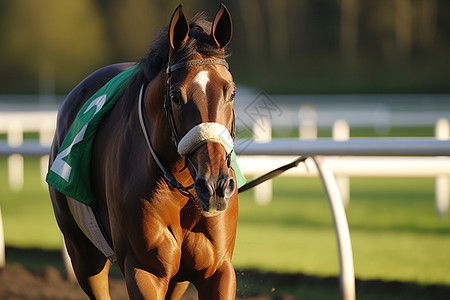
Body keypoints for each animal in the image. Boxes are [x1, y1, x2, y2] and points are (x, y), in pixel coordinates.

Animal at [47, 3, 239, 298]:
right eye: (175, 96)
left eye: (231, 92)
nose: (215, 185)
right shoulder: (143, 270)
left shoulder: (218, 270)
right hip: (82, 253)